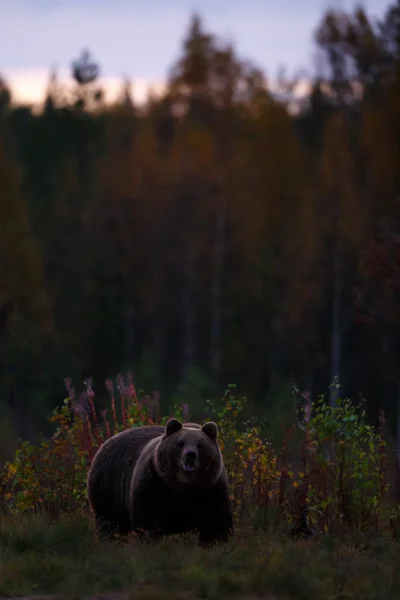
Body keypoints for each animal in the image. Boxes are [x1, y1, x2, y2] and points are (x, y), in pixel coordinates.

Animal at [86, 420, 233, 548]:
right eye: (181, 443)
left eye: (200, 445)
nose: (190, 455)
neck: (184, 486)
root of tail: (106, 442)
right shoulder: (154, 485)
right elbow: (147, 521)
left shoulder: (211, 489)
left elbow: (216, 522)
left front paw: (216, 543)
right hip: (108, 490)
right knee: (109, 524)